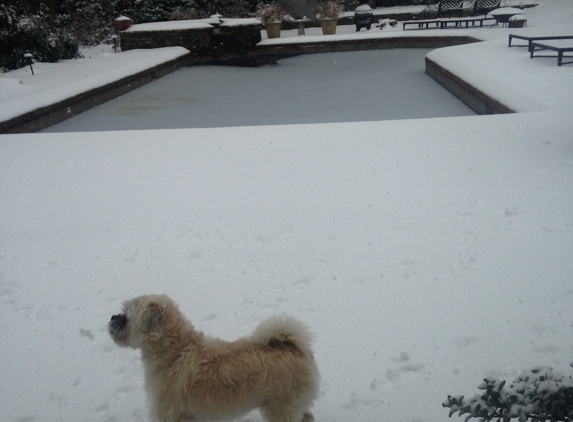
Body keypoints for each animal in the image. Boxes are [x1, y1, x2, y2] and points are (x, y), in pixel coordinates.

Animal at [109, 296, 320, 422]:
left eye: (126, 317)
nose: (112, 317)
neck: (175, 352)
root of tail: (296, 349)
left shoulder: (166, 412)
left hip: (280, 409)